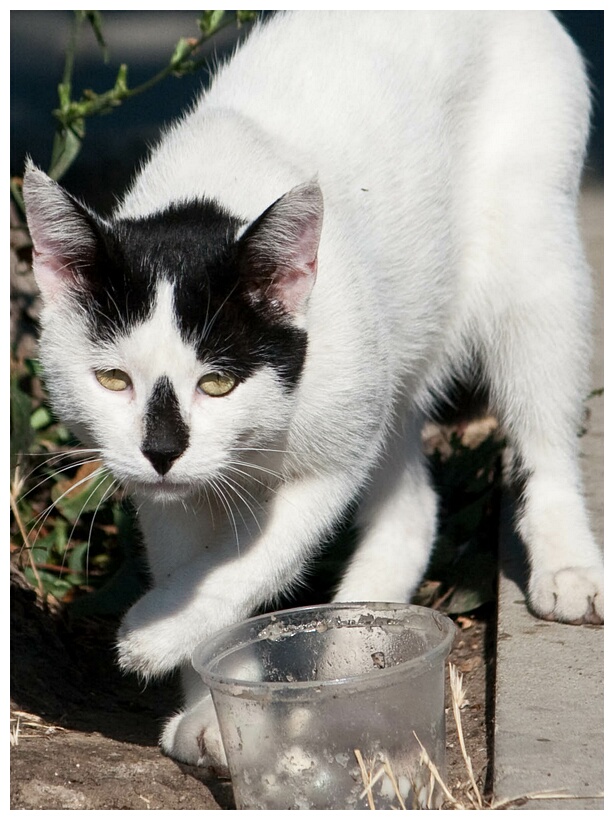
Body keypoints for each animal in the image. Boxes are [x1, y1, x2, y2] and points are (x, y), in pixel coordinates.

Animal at [21, 9, 604, 772]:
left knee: (543, 417)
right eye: (113, 379)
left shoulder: (334, 455)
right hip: (391, 351)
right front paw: (216, 700)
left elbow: (259, 554)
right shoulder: (161, 492)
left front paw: (154, 637)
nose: (163, 451)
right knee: (414, 507)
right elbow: (196, 558)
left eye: (218, 381)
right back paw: (359, 641)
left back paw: (566, 562)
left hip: (529, 255)